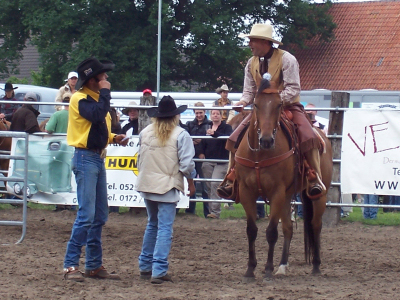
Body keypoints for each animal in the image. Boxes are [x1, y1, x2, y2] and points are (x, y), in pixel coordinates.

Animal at [236, 80, 332, 282]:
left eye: (279, 105)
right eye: (256, 104)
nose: (266, 140)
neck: (259, 154)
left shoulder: (277, 192)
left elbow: (271, 232)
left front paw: (267, 269)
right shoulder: (246, 191)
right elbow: (252, 230)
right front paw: (250, 269)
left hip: (318, 195)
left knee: (316, 225)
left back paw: (316, 266)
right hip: (288, 196)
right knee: (288, 228)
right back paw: (282, 266)